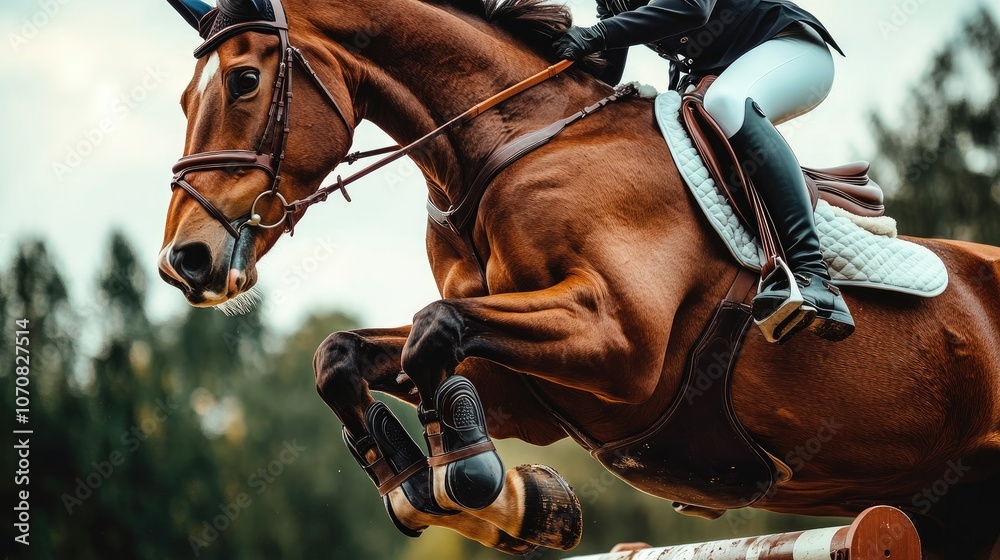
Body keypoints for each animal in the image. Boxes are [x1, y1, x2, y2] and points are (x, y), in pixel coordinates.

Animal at [155, 0, 1000, 557]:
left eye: (243, 82)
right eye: (185, 95)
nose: (184, 261)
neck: (506, 148)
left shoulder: (620, 345)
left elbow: (434, 330)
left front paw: (476, 479)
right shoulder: (535, 390)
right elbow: (344, 354)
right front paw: (498, 500)